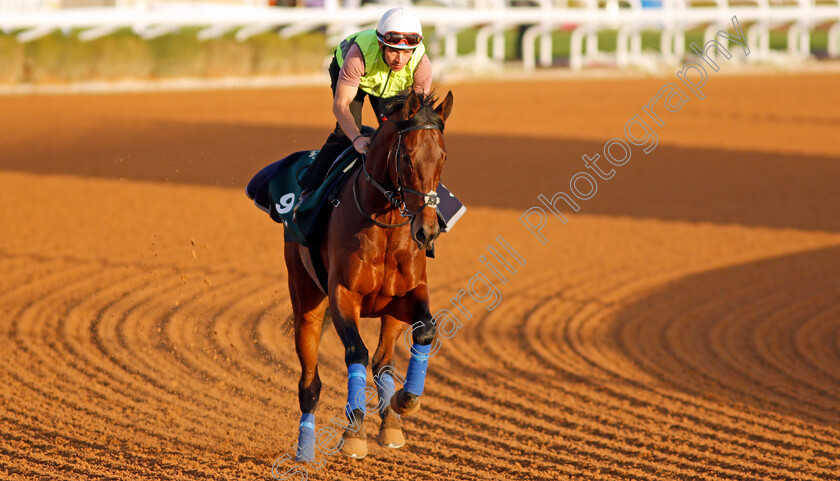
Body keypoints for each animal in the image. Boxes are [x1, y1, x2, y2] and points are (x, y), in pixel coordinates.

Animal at [282, 90, 452, 462]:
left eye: (443, 156)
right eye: (406, 157)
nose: (427, 231)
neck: (386, 222)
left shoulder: (408, 294)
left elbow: (425, 331)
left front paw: (406, 400)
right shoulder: (343, 295)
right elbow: (355, 353)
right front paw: (354, 432)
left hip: (390, 314)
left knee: (383, 362)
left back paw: (391, 422)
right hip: (306, 302)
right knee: (309, 383)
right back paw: (304, 451)